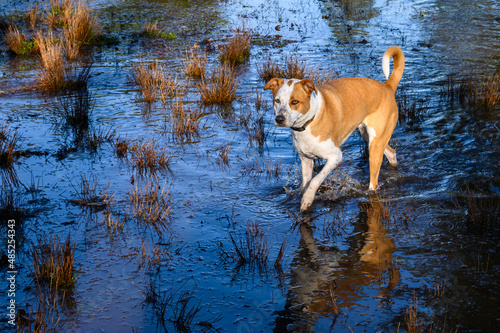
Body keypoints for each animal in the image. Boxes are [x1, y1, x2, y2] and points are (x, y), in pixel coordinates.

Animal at [264, 46, 404, 210]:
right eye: (277, 100)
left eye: (294, 102)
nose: (279, 119)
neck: (308, 123)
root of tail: (387, 86)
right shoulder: (305, 160)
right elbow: (306, 183)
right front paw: (303, 196)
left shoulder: (335, 156)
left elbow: (315, 180)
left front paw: (307, 199)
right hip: (370, 137)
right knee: (391, 153)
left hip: (375, 145)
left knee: (374, 182)